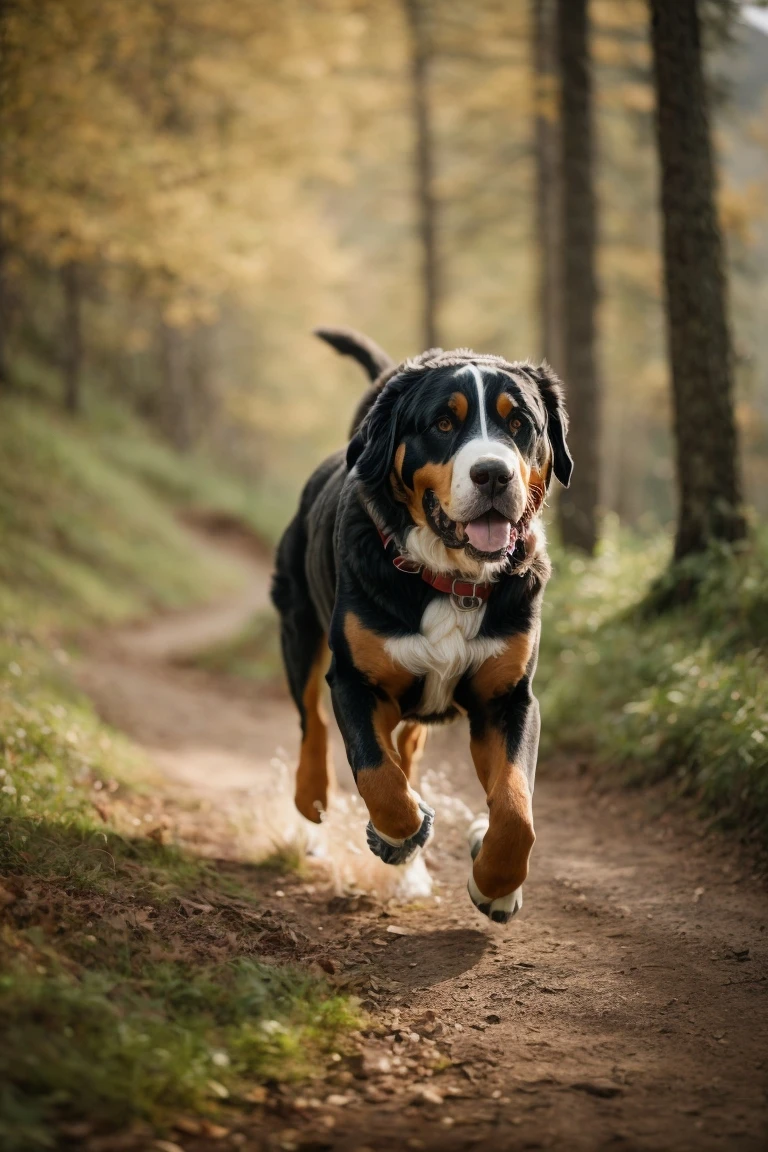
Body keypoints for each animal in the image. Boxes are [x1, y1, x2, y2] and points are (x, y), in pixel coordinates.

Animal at [271, 329, 571, 921]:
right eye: (443, 424)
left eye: (520, 423)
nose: (493, 473)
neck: (451, 580)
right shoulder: (356, 680)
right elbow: (375, 773)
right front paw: (399, 836)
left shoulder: (508, 698)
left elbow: (516, 808)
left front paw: (496, 883)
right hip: (299, 626)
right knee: (312, 721)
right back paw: (311, 799)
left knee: (405, 745)